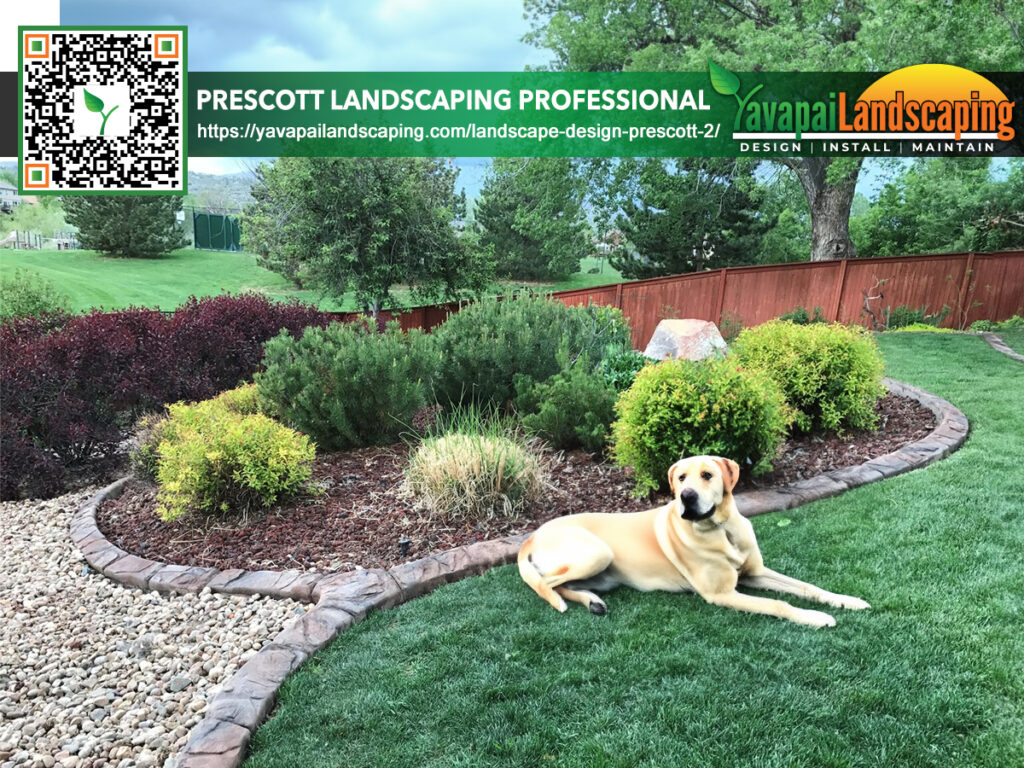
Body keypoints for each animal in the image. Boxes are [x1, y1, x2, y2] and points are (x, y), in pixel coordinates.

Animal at [516, 456, 868, 626]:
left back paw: (592, 601)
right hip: (596, 553)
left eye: (707, 475)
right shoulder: (722, 594)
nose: (686, 496)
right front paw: (816, 618)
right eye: (681, 477)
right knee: (544, 584)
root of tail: (532, 536)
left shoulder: (754, 574)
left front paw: (847, 600)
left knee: (562, 584)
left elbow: (808, 587)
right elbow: (778, 603)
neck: (722, 530)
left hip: (603, 574)